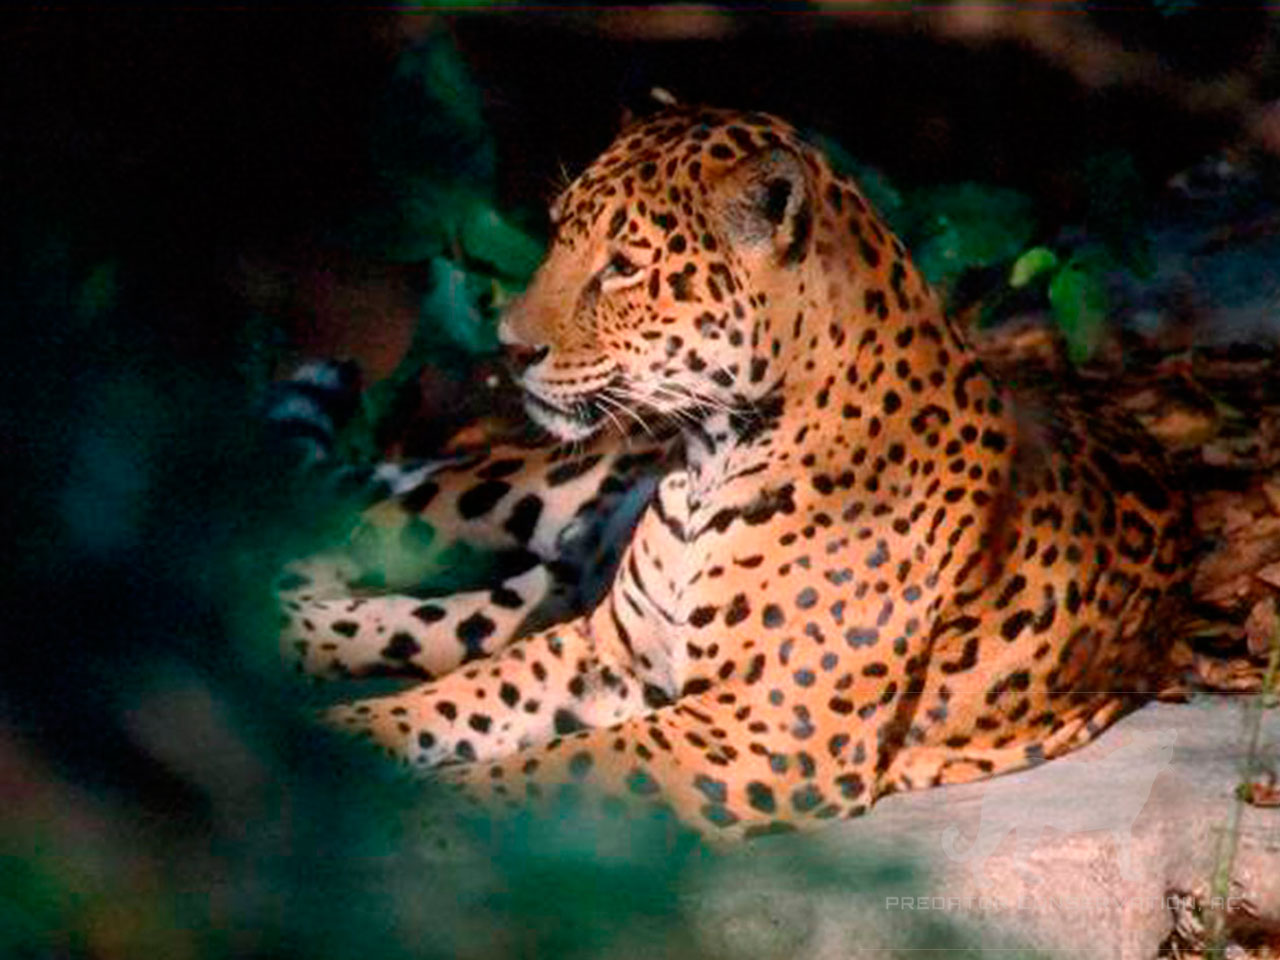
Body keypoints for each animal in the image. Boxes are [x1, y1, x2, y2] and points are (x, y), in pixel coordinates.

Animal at [278, 104, 1191, 841]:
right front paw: (356, 733)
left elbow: (557, 762)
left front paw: (429, 806)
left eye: (623, 265)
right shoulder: (611, 648)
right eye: (559, 232)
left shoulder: (762, 730)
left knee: (441, 620)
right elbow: (465, 697)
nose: (508, 347)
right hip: (517, 494)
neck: (707, 462)